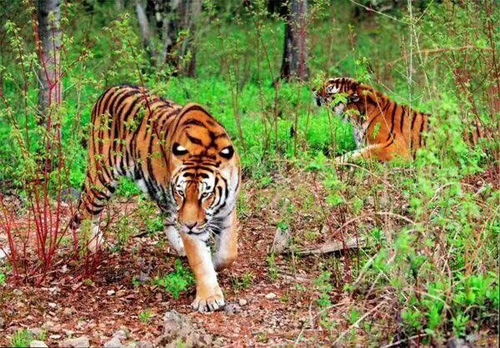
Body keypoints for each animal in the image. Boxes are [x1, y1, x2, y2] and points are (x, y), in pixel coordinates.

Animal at [71, 86, 241, 312]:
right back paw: (93, 245)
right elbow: (199, 259)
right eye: (181, 193)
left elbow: (229, 252)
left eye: (206, 194)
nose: (189, 225)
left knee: (166, 218)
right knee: (89, 211)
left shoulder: (228, 208)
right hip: (103, 175)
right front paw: (208, 298)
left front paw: (215, 262)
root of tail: (107, 91)